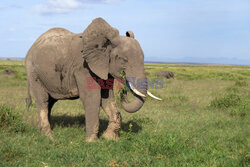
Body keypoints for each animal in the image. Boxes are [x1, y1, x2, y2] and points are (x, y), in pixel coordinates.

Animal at [24, 17, 160, 142]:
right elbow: (92, 97)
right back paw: (49, 137)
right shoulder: (83, 68)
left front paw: (110, 138)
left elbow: (107, 98)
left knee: (50, 102)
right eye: (124, 59)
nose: (124, 90)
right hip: (33, 72)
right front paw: (91, 142)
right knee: (43, 100)